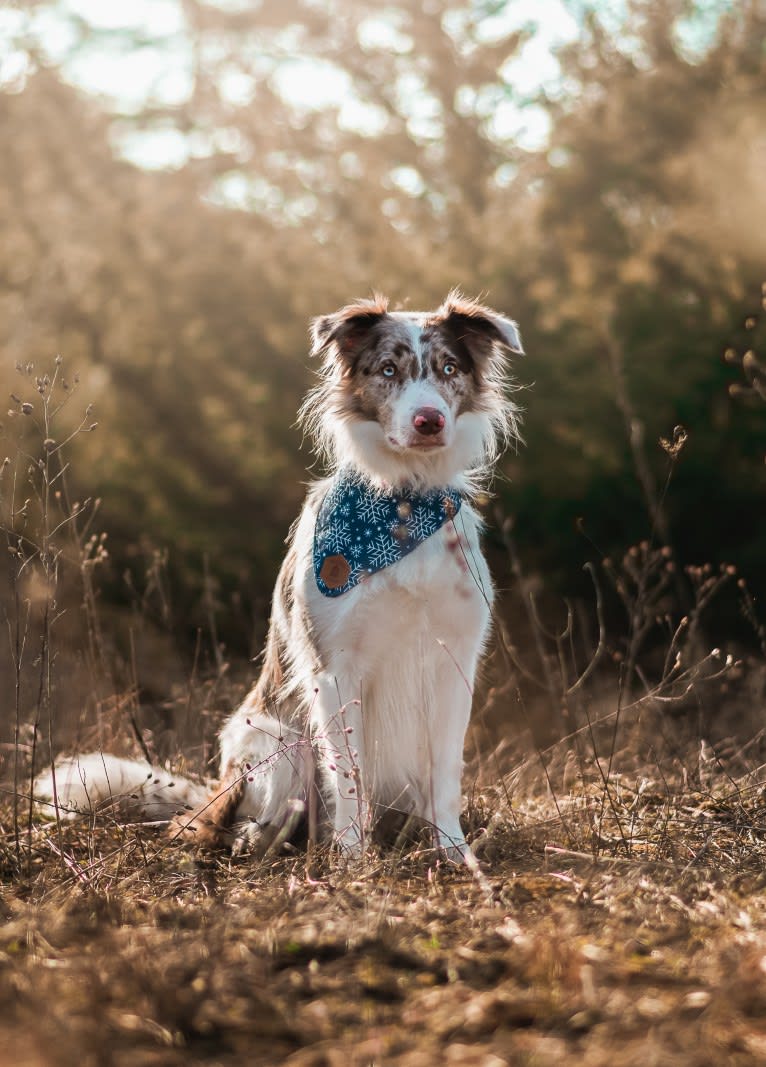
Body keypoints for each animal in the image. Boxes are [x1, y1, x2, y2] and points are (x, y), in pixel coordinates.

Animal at [38, 292, 524, 866]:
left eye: (449, 369)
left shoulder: (454, 663)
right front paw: (352, 860)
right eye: (388, 370)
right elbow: (349, 777)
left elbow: (446, 772)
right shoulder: (335, 670)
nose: (429, 421)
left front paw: (454, 852)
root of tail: (216, 793)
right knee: (220, 827)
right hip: (273, 741)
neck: (403, 507)